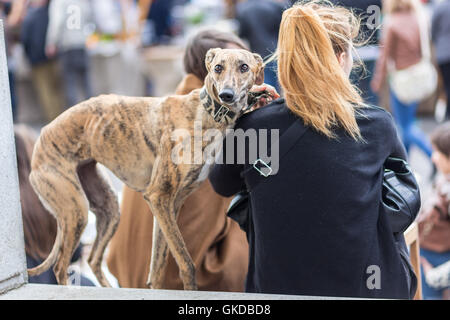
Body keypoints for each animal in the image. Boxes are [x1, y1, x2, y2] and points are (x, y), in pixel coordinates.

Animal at [27, 48, 264, 290]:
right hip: (76, 210)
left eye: (244, 67)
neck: (205, 113)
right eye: (218, 67)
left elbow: (157, 268)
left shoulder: (170, 204)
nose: (227, 95)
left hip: (108, 208)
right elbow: (187, 264)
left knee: (93, 258)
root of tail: (42, 135)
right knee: (60, 265)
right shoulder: (159, 196)